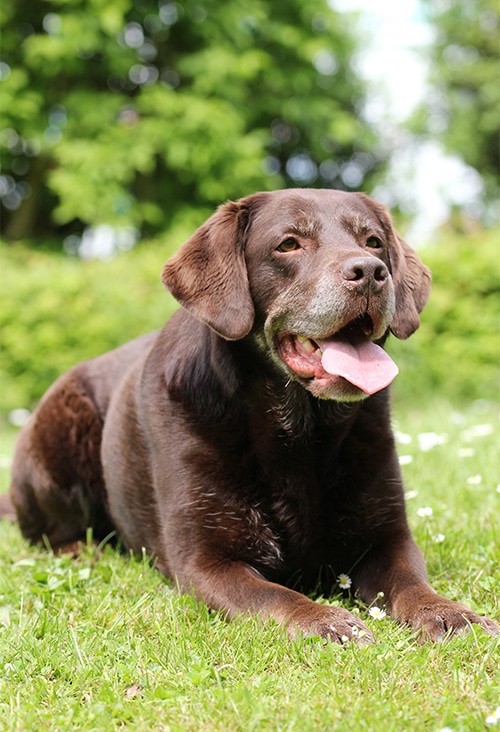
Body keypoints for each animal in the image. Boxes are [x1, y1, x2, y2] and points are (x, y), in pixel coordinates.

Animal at [4, 192, 500, 644]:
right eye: (288, 245)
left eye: (374, 242)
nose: (371, 272)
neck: (299, 433)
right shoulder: (205, 561)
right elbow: (275, 595)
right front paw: (325, 620)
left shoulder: (388, 539)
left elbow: (412, 583)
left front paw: (451, 613)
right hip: (58, 435)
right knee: (49, 533)